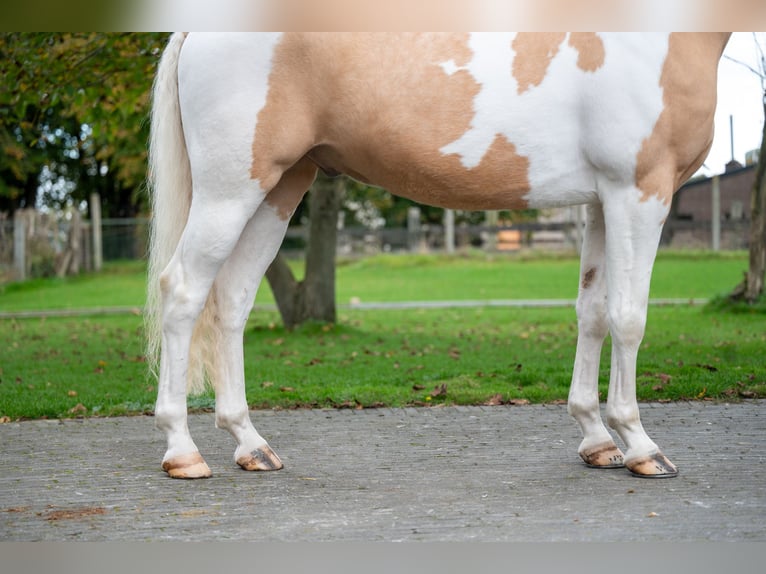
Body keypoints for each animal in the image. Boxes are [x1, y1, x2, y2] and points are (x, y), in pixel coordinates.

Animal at [146, 31, 732, 482]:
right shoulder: (638, 193)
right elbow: (628, 319)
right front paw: (642, 447)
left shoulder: (600, 203)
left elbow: (591, 313)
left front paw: (597, 440)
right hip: (230, 192)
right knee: (183, 291)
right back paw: (183, 452)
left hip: (279, 190)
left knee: (232, 302)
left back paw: (251, 445)